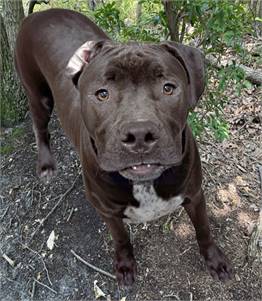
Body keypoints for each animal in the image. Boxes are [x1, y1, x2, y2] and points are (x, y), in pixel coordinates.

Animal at [15, 8, 231, 284]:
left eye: (168, 88)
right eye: (102, 93)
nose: (139, 134)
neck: (145, 184)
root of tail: (41, 13)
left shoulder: (194, 194)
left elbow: (203, 228)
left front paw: (214, 259)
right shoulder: (107, 210)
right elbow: (120, 238)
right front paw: (126, 265)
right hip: (37, 94)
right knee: (40, 128)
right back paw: (45, 164)